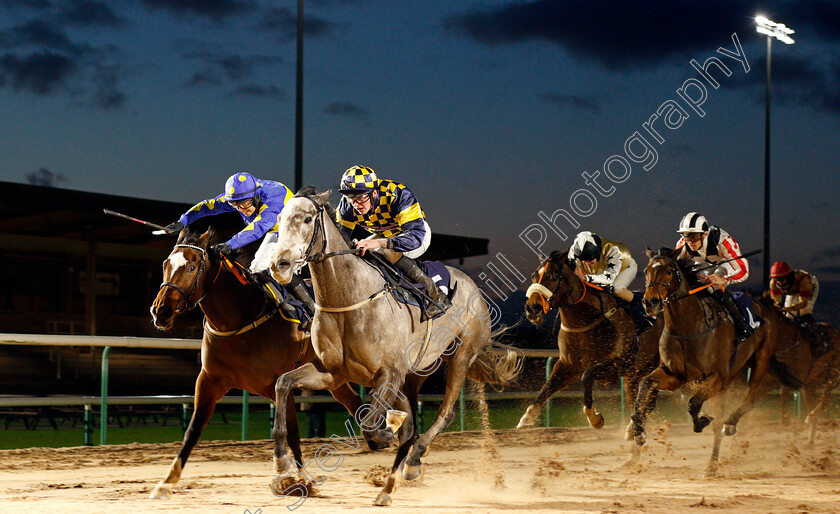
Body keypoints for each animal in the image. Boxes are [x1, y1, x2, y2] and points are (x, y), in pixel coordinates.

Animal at [148, 227, 384, 496]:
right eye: (166, 264)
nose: (161, 311)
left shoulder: (279, 384)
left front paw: (301, 480)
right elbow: (193, 430)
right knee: (355, 404)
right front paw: (167, 481)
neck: (241, 317)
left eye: (190, 267)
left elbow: (292, 433)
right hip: (333, 377)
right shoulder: (210, 380)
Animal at [270, 189, 520, 504]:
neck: (350, 300)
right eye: (279, 218)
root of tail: (471, 284)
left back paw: (412, 462)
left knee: (444, 414)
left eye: (306, 218)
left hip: (461, 356)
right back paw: (387, 487)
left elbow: (371, 424)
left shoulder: (388, 373)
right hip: (414, 375)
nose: (279, 264)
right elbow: (283, 383)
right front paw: (281, 459)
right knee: (411, 422)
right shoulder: (333, 372)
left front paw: (386, 433)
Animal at [520, 247, 664, 436]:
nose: (532, 308)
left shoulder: (615, 364)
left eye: (554, 277)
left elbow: (587, 376)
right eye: (533, 276)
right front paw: (527, 417)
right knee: (639, 400)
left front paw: (595, 418)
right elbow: (548, 386)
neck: (586, 320)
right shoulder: (568, 365)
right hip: (635, 374)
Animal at [632, 246, 804, 474]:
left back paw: (727, 431)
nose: (650, 302)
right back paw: (713, 462)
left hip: (760, 361)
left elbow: (694, 404)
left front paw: (701, 421)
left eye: (669, 271)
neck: (687, 328)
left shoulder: (717, 376)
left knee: (747, 401)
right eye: (646, 271)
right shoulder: (674, 375)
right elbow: (645, 383)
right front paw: (638, 431)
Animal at [752, 294, 840, 442]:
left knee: (825, 397)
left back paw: (811, 419)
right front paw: (785, 419)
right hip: (813, 381)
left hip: (833, 375)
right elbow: (781, 393)